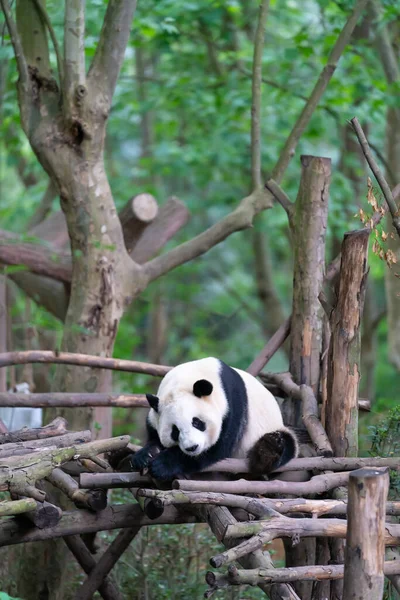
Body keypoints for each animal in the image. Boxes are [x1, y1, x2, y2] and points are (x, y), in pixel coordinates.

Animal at [130, 356, 298, 482]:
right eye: (175, 431)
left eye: (197, 422)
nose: (192, 448)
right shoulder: (156, 413)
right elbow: (153, 436)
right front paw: (144, 456)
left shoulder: (233, 406)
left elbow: (216, 449)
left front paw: (162, 465)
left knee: (285, 444)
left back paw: (268, 449)